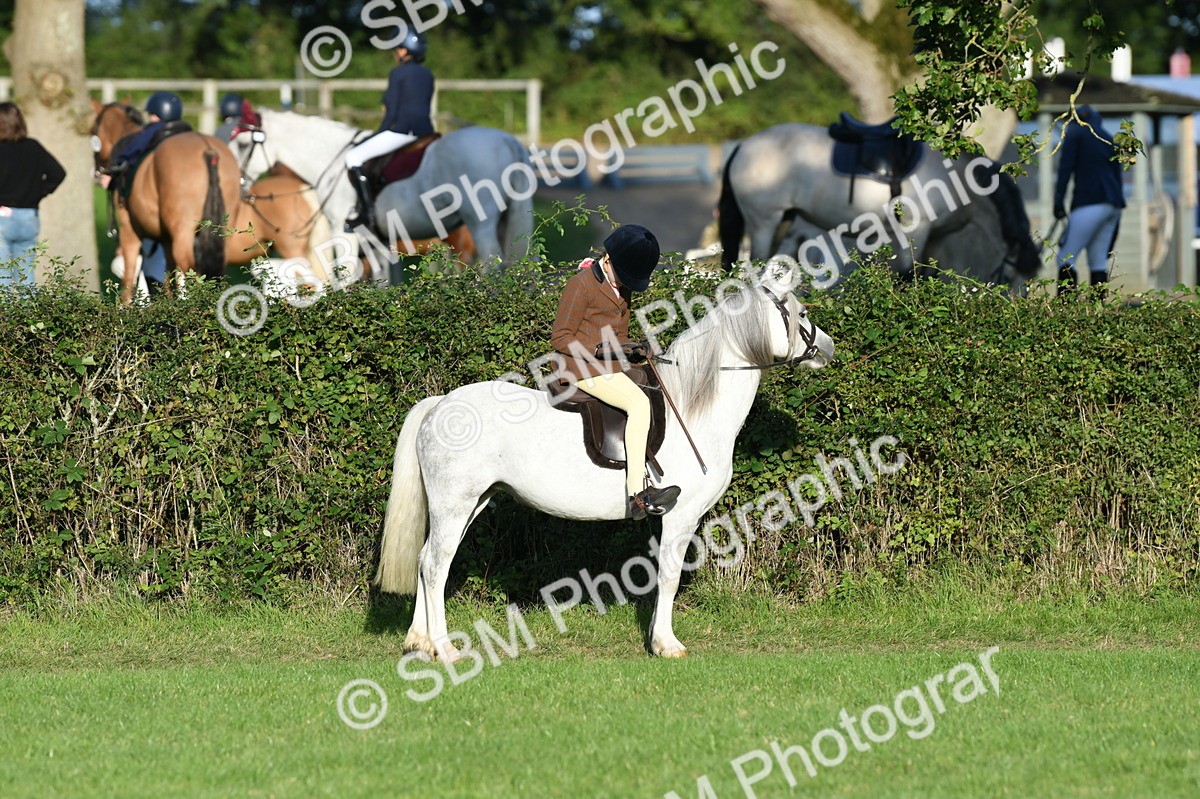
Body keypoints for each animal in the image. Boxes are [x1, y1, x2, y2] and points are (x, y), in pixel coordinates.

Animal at [90, 100, 242, 305]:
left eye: (93, 130)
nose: (98, 174)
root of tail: (209, 151)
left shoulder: (129, 230)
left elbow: (129, 277)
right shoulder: (166, 239)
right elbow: (167, 279)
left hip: (183, 235)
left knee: (188, 271)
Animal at [230, 109, 533, 271]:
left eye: (243, 145)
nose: (239, 186)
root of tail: (508, 141)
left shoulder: (345, 232)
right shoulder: (373, 240)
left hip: (478, 226)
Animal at [373, 263, 835, 661]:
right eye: (800, 312)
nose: (828, 347)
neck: (695, 405)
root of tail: (440, 404)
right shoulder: (681, 514)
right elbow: (668, 575)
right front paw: (665, 644)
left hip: (472, 502)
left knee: (425, 559)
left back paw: (419, 642)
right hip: (455, 504)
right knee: (435, 565)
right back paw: (445, 649)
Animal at [718, 123, 1041, 292]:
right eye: (1009, 277)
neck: (957, 178)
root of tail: (744, 146)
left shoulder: (937, 238)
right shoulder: (915, 229)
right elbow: (907, 275)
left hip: (786, 223)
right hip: (764, 222)